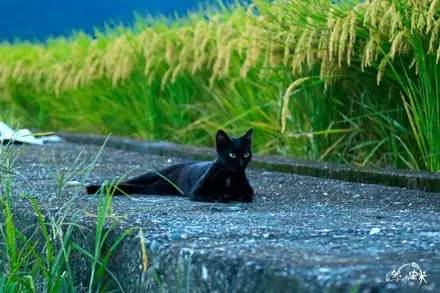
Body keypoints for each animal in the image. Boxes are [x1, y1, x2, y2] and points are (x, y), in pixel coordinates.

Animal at [86, 129, 254, 202]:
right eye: (232, 155)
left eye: (246, 154)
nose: (240, 163)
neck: (229, 176)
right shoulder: (197, 192)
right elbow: (215, 195)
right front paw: (224, 196)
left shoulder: (249, 192)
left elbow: (244, 195)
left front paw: (232, 195)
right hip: (151, 175)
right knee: (129, 182)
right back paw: (94, 188)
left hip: (158, 188)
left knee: (136, 187)